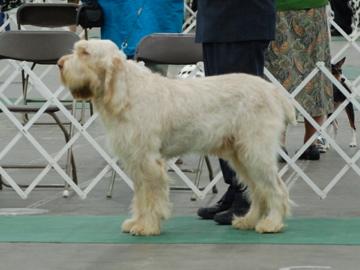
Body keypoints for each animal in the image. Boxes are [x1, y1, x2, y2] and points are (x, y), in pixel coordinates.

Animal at [58, 39, 296, 235]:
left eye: (85, 52)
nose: (59, 63)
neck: (127, 91)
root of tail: (273, 91)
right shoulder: (136, 161)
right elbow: (141, 196)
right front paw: (137, 221)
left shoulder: (148, 161)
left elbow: (151, 195)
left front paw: (148, 226)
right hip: (241, 155)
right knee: (258, 191)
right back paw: (248, 221)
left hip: (255, 152)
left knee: (276, 189)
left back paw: (272, 223)